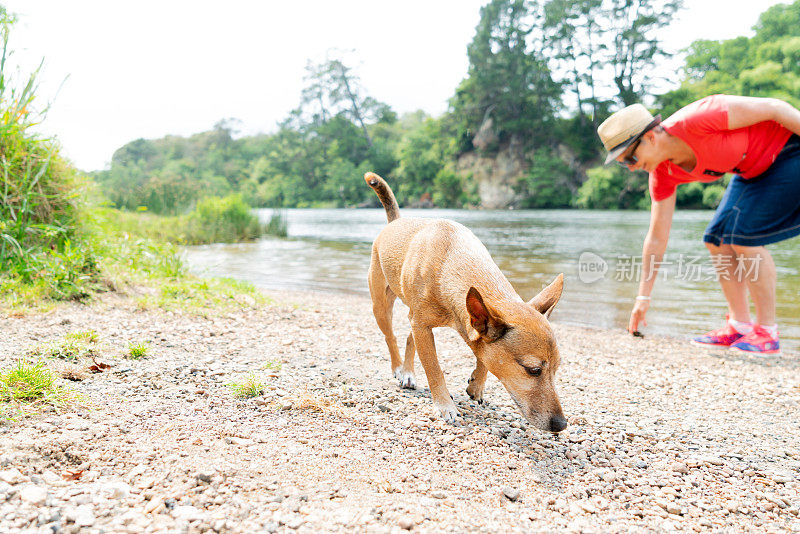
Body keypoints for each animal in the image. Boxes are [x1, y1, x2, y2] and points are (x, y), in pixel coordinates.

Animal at [366, 174, 564, 434]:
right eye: (533, 371)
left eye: (556, 369)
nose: (562, 424)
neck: (451, 259)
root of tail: (395, 221)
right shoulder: (423, 326)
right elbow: (434, 368)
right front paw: (444, 406)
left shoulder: (468, 324)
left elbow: (484, 354)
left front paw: (477, 384)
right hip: (381, 306)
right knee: (391, 337)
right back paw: (400, 370)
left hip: (413, 316)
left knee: (409, 338)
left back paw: (408, 372)